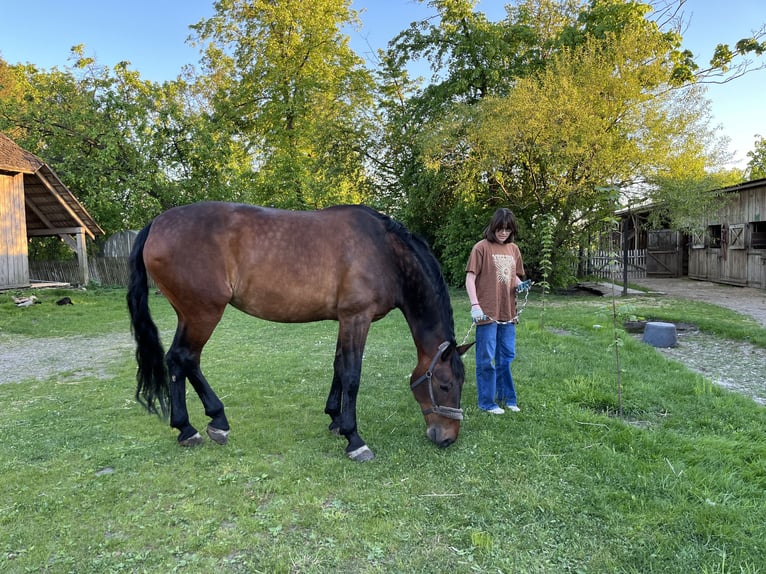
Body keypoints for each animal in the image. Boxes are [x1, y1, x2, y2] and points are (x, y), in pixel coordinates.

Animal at [127, 202, 474, 464]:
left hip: (190, 315)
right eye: (444, 385)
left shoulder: (344, 320)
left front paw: (335, 419)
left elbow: (338, 367)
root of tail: (156, 224)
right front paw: (354, 438)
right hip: (203, 313)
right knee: (184, 358)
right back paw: (200, 425)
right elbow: (352, 375)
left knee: (180, 361)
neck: (384, 252)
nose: (447, 438)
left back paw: (201, 424)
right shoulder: (357, 318)